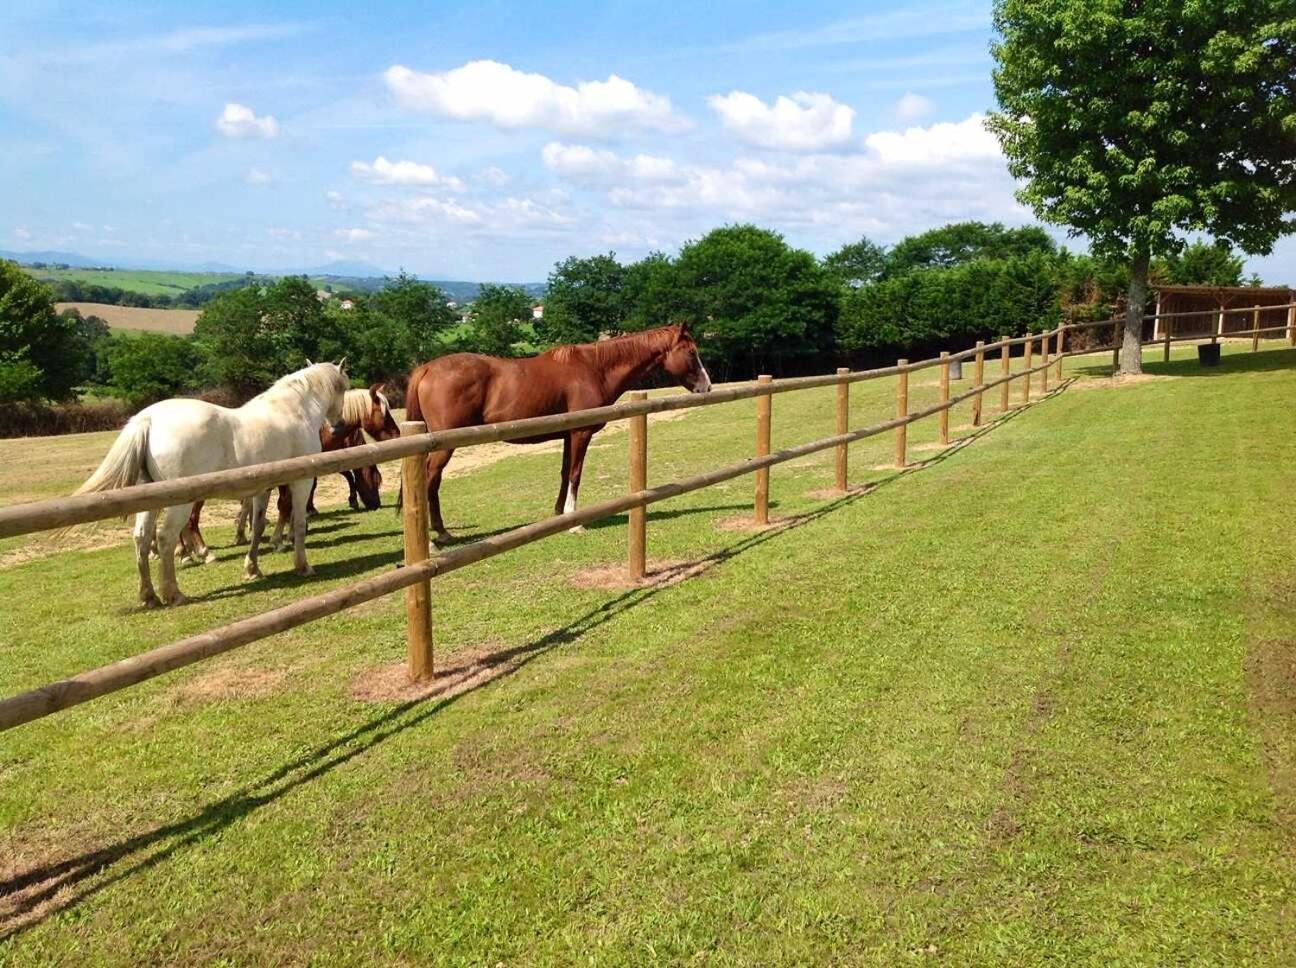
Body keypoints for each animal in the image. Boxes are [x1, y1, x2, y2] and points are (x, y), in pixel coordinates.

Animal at [75, 362, 349, 606]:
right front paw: (303, 565)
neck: (293, 409)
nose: (339, 426)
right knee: (165, 538)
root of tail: (148, 419)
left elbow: (257, 527)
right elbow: (299, 523)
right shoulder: (301, 482)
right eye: (344, 388)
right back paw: (174, 593)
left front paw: (252, 568)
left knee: (141, 538)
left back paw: (149, 596)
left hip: (150, 500)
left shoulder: (263, 488)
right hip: (179, 503)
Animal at [178, 383, 399, 564]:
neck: (320, 425)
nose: (397, 434)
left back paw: (187, 551)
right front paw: (282, 538)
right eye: (385, 413)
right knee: (191, 520)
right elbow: (287, 503)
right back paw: (201, 552)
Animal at [404, 323, 710, 544]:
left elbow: (564, 473)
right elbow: (575, 473)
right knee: (430, 480)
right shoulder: (580, 433)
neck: (594, 368)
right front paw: (574, 521)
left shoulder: (566, 435)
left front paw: (558, 514)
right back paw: (435, 538)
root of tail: (427, 368)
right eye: (691, 353)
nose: (706, 387)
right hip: (443, 445)